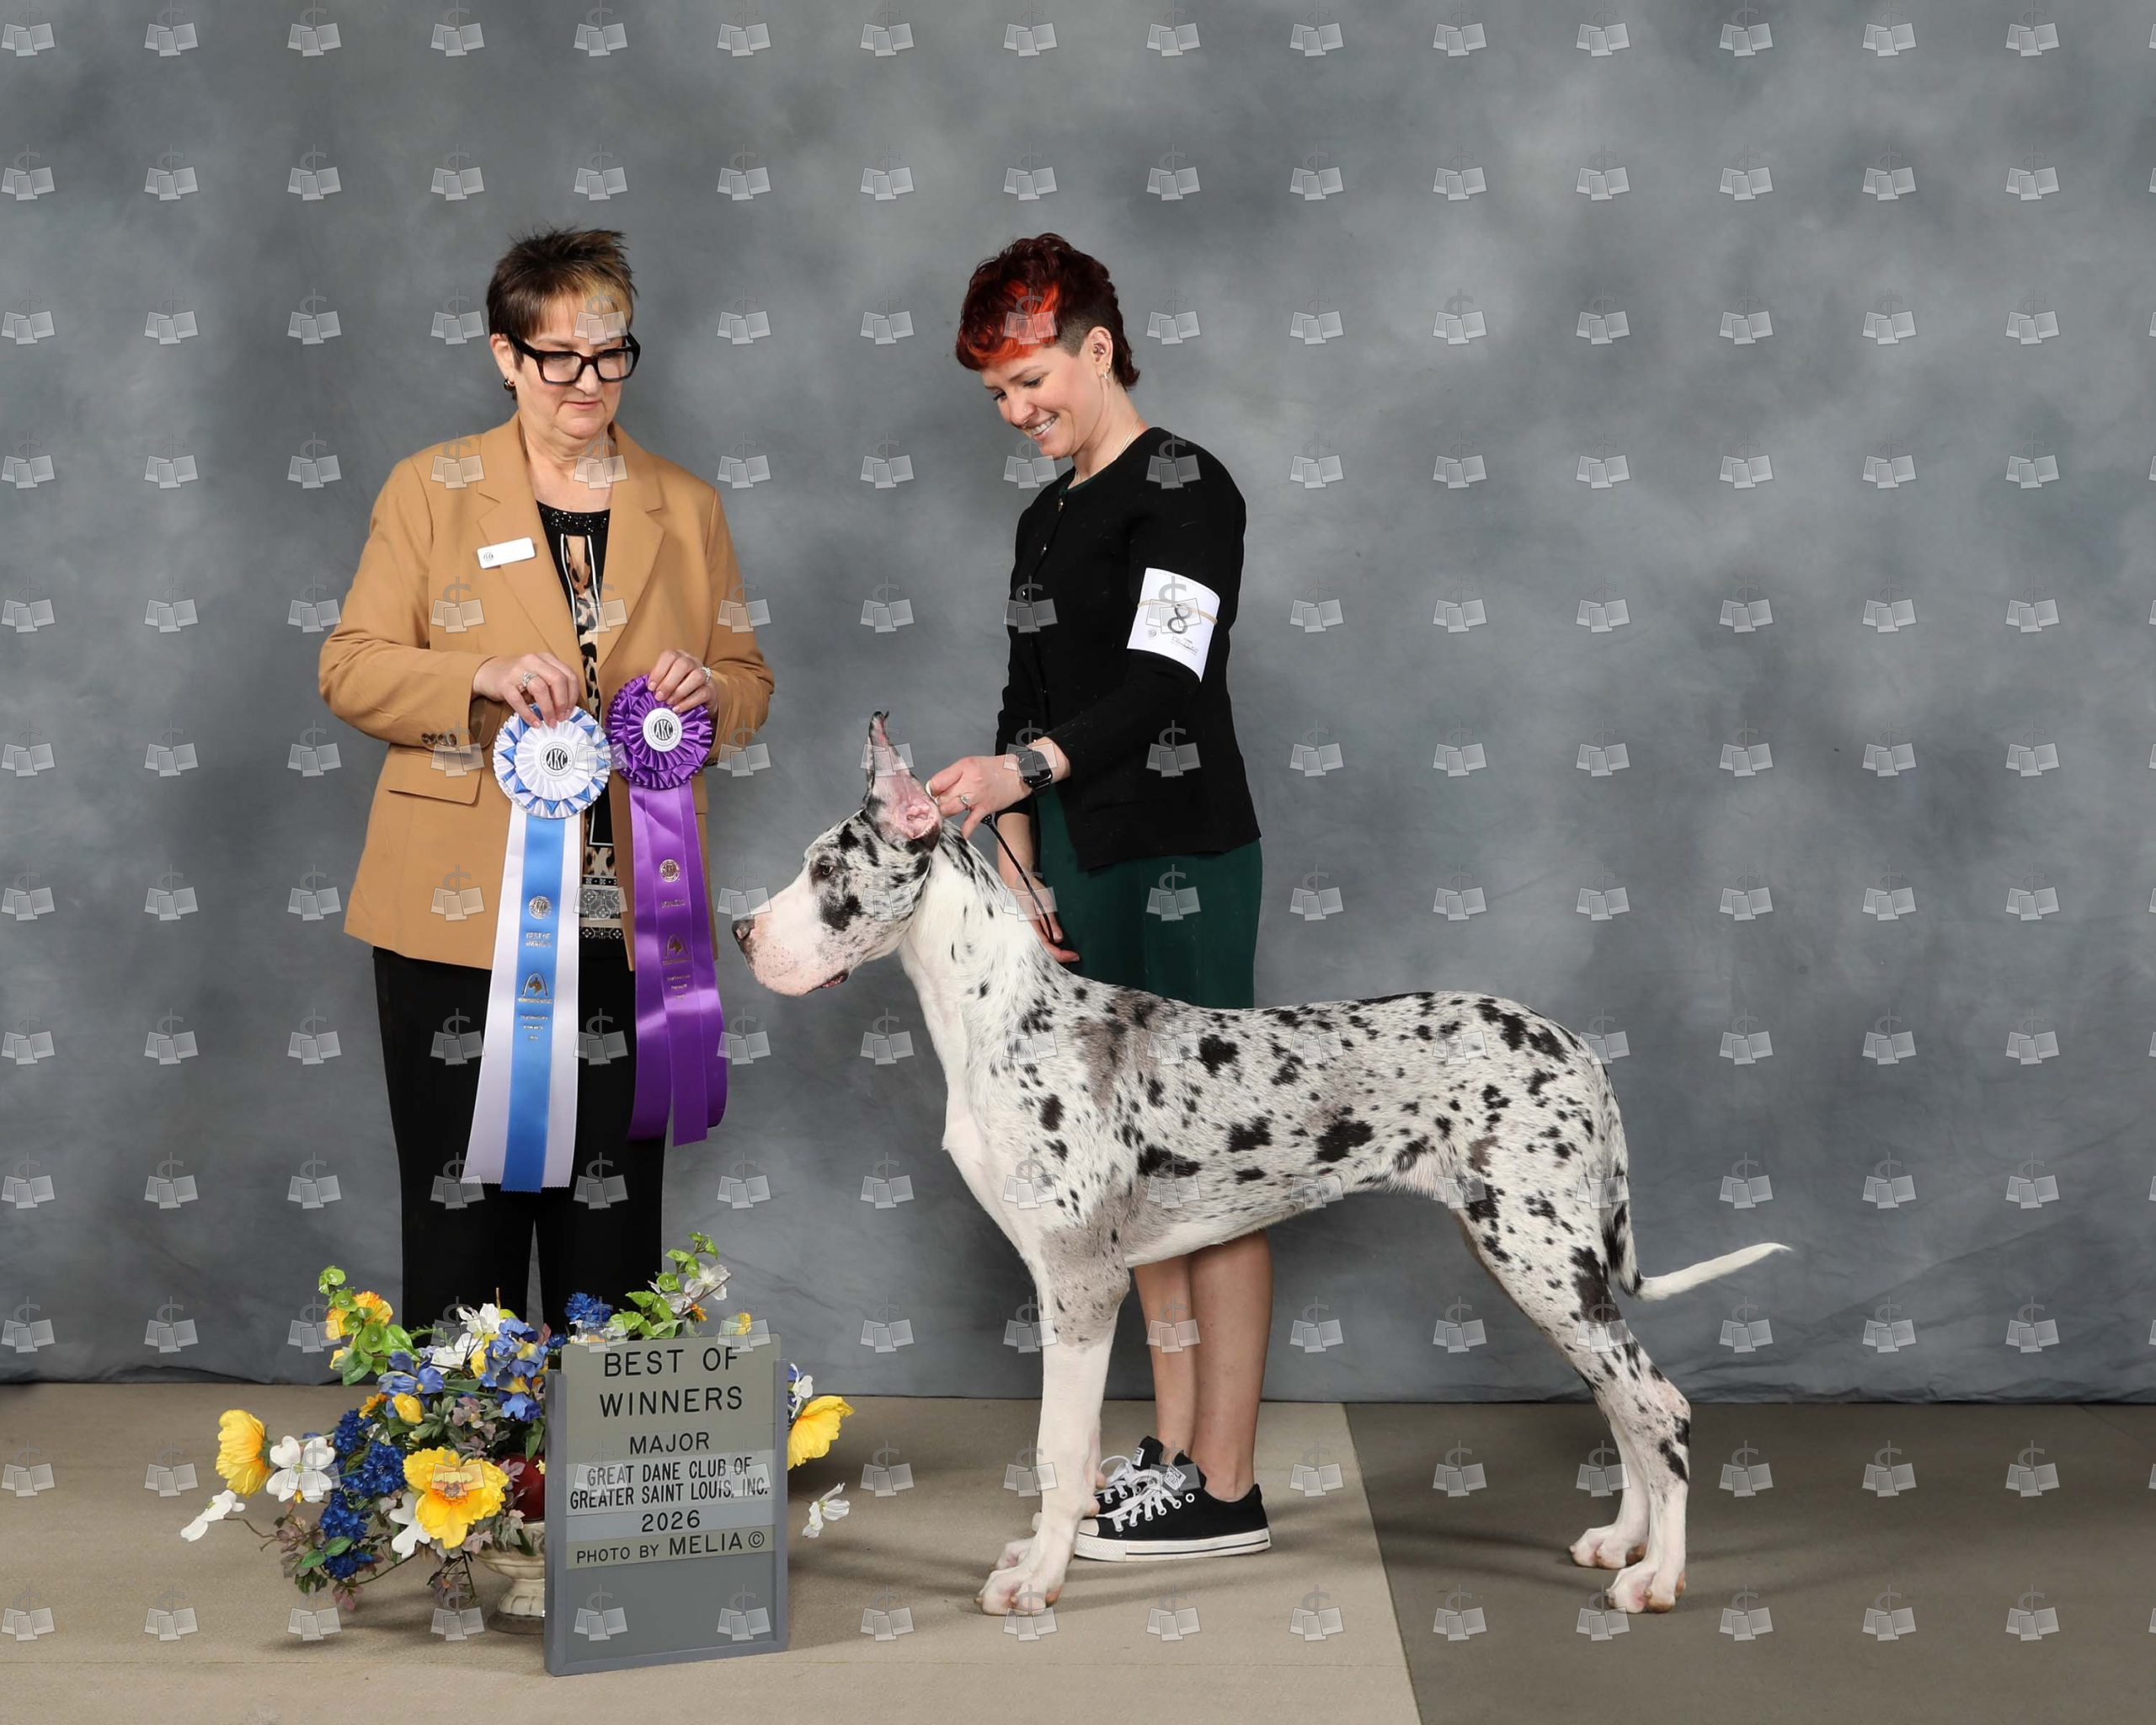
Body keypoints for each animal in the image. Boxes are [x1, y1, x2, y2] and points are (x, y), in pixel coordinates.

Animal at [731, 713, 1792, 1616]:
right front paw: (1042, 1551)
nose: (740, 932)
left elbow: (1056, 1449)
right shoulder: (1070, 1277)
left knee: (1657, 1403)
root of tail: (1580, 1048)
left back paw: (1659, 1577)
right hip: (1541, 1265)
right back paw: (1623, 1539)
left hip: (1539, 1256)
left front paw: (1038, 1578)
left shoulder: (1079, 1283)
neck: (1002, 1017)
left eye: (824, 868)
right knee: (1620, 1400)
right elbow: (1069, 1456)